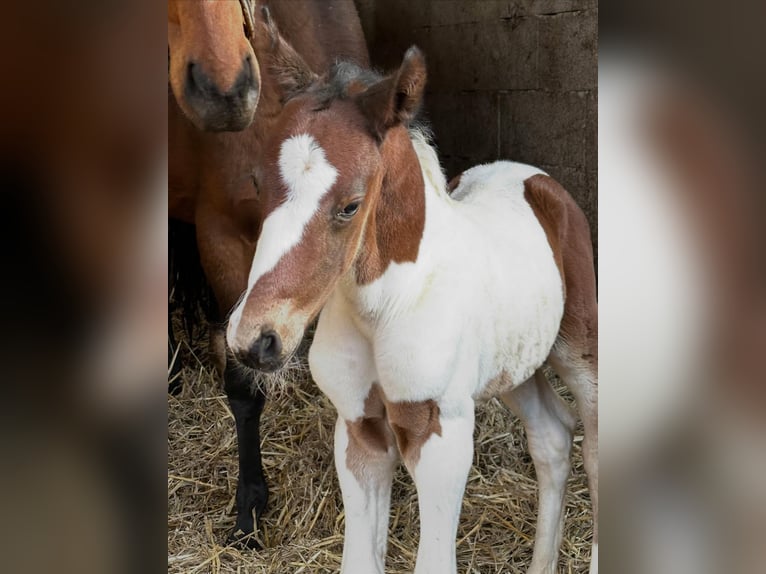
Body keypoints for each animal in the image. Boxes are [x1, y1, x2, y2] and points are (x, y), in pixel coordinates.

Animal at [225, 45, 598, 573]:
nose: (255, 339)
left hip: (580, 348)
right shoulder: (358, 427)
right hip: (514, 368)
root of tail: (534, 176)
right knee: (552, 436)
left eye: (350, 205)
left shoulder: (441, 433)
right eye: (258, 185)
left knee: (596, 450)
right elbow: (360, 561)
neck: (384, 307)